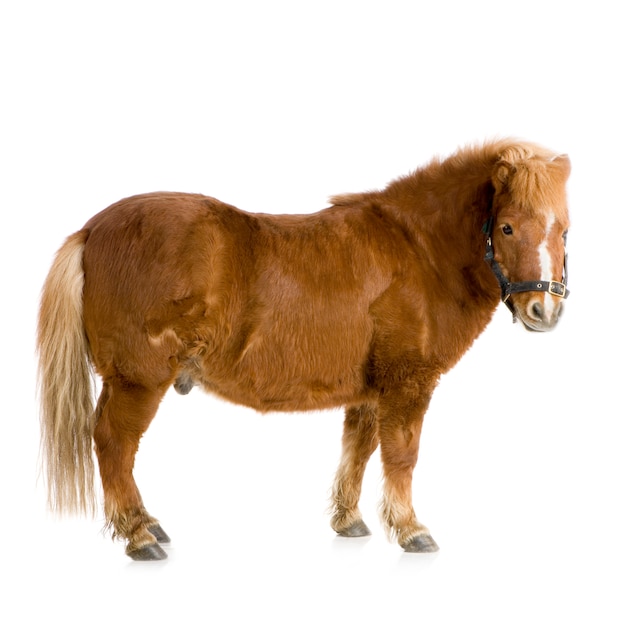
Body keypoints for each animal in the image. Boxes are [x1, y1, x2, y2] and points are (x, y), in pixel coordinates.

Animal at [36, 139, 568, 560]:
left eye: (563, 227)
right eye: (506, 227)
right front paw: (411, 529)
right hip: (138, 380)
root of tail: (93, 230)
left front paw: (349, 519)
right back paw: (139, 536)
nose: (543, 310)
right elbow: (402, 454)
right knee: (114, 444)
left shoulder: (370, 392)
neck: (418, 250)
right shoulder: (408, 383)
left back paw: (148, 525)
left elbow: (358, 449)